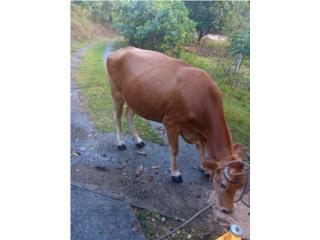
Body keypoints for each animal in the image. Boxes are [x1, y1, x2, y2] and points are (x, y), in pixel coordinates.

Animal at [106, 47, 249, 212]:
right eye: (223, 184)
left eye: (240, 186)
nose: (228, 209)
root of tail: (123, 49)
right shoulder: (171, 122)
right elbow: (175, 150)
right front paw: (175, 173)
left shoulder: (199, 132)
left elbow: (201, 149)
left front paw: (205, 168)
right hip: (116, 92)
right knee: (117, 116)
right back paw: (120, 142)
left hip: (136, 98)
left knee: (129, 116)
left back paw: (138, 141)